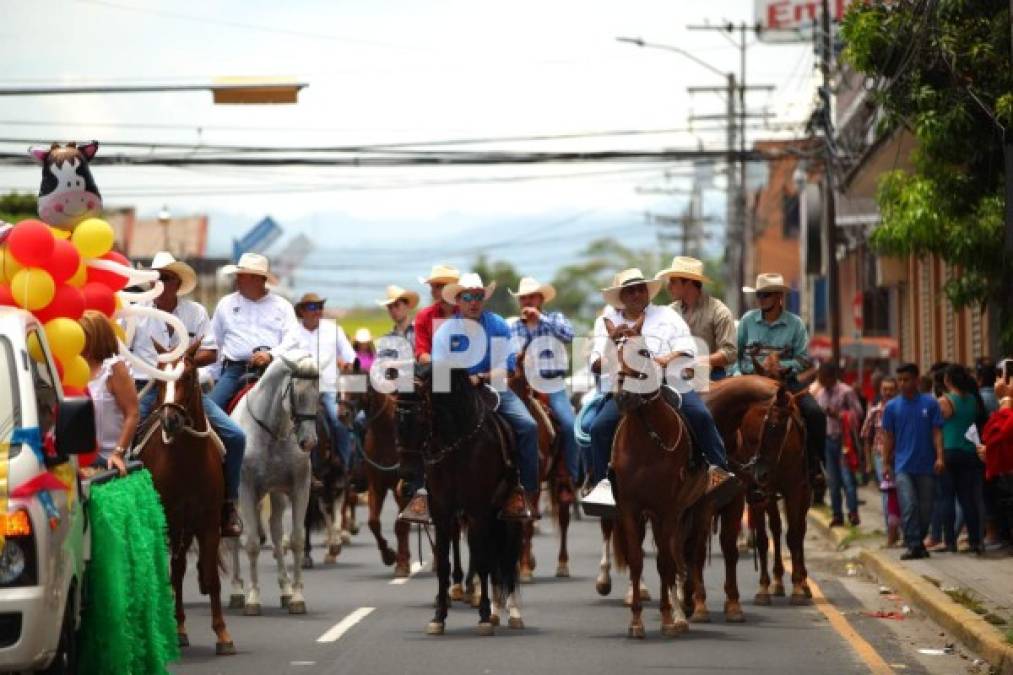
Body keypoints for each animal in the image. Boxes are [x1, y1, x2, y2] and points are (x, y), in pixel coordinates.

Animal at [136, 342, 235, 652]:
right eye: (158, 379)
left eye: (189, 375)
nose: (170, 420)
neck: (187, 460)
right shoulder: (172, 521)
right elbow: (174, 574)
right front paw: (177, 628)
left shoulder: (208, 524)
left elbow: (212, 578)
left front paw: (223, 634)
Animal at [226, 352, 318, 616]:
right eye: (297, 394)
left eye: (318, 393)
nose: (309, 442)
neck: (271, 431)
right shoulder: (245, 490)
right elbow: (252, 544)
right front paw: (253, 597)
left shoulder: (299, 489)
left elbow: (295, 540)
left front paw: (296, 596)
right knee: (232, 538)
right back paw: (237, 590)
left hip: (276, 494)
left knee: (276, 533)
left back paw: (285, 590)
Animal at [395, 362, 522, 632]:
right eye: (395, 418)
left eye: (420, 417)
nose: (408, 474)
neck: (456, 445)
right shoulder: (442, 511)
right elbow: (444, 563)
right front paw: (438, 616)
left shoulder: (477, 510)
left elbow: (483, 560)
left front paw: (483, 616)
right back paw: (495, 610)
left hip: (506, 514)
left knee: (507, 557)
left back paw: (509, 612)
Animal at [510, 342, 575, 579]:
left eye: (519, 379)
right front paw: (520, 564)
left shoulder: (534, 481)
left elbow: (527, 522)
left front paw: (524, 567)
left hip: (562, 480)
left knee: (564, 518)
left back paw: (562, 564)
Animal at [603, 316, 709, 636]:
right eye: (608, 354)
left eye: (645, 352)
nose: (624, 396)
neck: (646, 439)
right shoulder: (630, 508)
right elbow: (637, 561)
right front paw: (636, 621)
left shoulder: (667, 508)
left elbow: (664, 562)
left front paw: (665, 617)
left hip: (690, 510)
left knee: (680, 555)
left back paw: (681, 614)